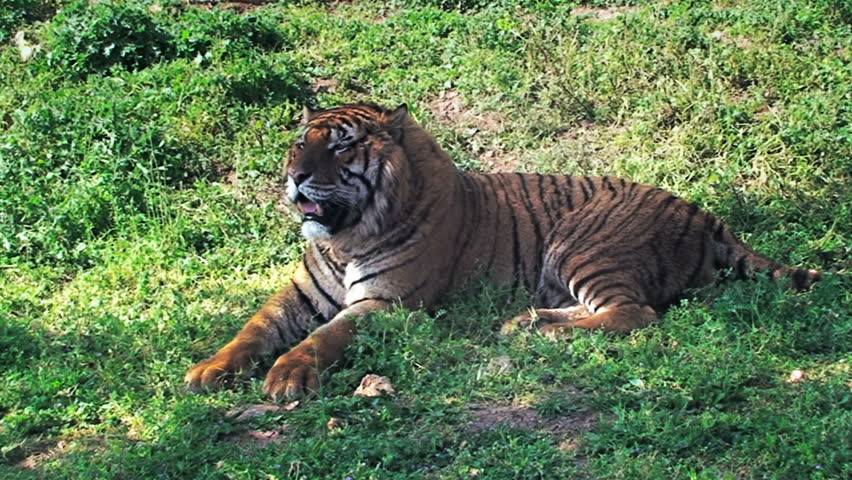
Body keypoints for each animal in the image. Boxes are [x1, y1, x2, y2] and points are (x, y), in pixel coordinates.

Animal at [184, 102, 820, 400]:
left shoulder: (388, 303)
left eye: (340, 149)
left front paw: (287, 376)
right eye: (300, 144)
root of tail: (700, 210)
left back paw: (539, 329)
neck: (345, 237)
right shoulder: (296, 293)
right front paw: (209, 369)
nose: (293, 179)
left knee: (633, 313)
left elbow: (324, 337)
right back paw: (527, 322)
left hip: (581, 244)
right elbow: (252, 329)